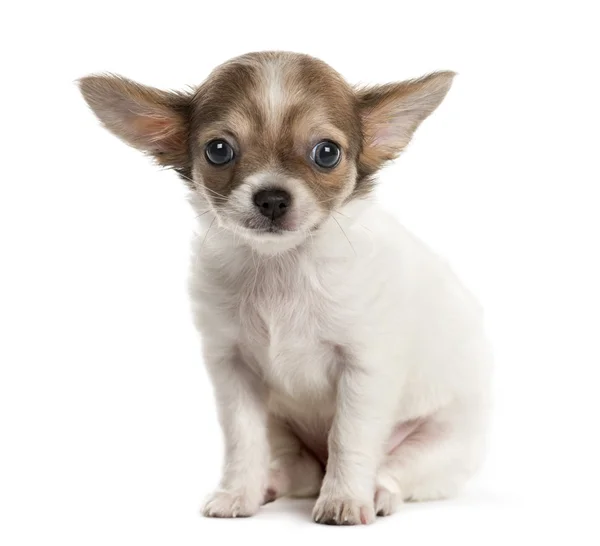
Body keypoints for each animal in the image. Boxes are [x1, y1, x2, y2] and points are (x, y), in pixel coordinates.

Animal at [81, 51, 492, 524]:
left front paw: (344, 500)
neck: (281, 267)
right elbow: (243, 439)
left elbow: (349, 438)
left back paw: (374, 493)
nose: (272, 198)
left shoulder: (365, 368)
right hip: (283, 429)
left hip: (440, 445)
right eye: (218, 150)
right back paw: (269, 483)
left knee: (392, 470)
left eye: (327, 153)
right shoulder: (232, 369)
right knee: (301, 468)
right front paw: (238, 493)